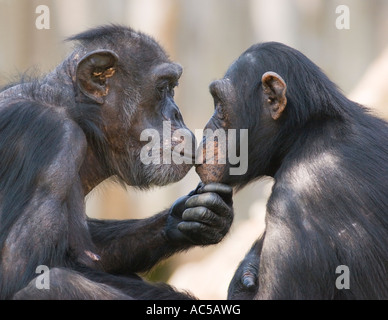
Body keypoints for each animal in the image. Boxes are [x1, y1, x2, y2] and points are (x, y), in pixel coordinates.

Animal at [0, 25, 232, 300]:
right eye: (162, 88)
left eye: (173, 88)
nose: (177, 114)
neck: (78, 115)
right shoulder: (54, 139)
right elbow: (21, 273)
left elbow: (94, 252)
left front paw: (191, 216)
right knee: (52, 284)